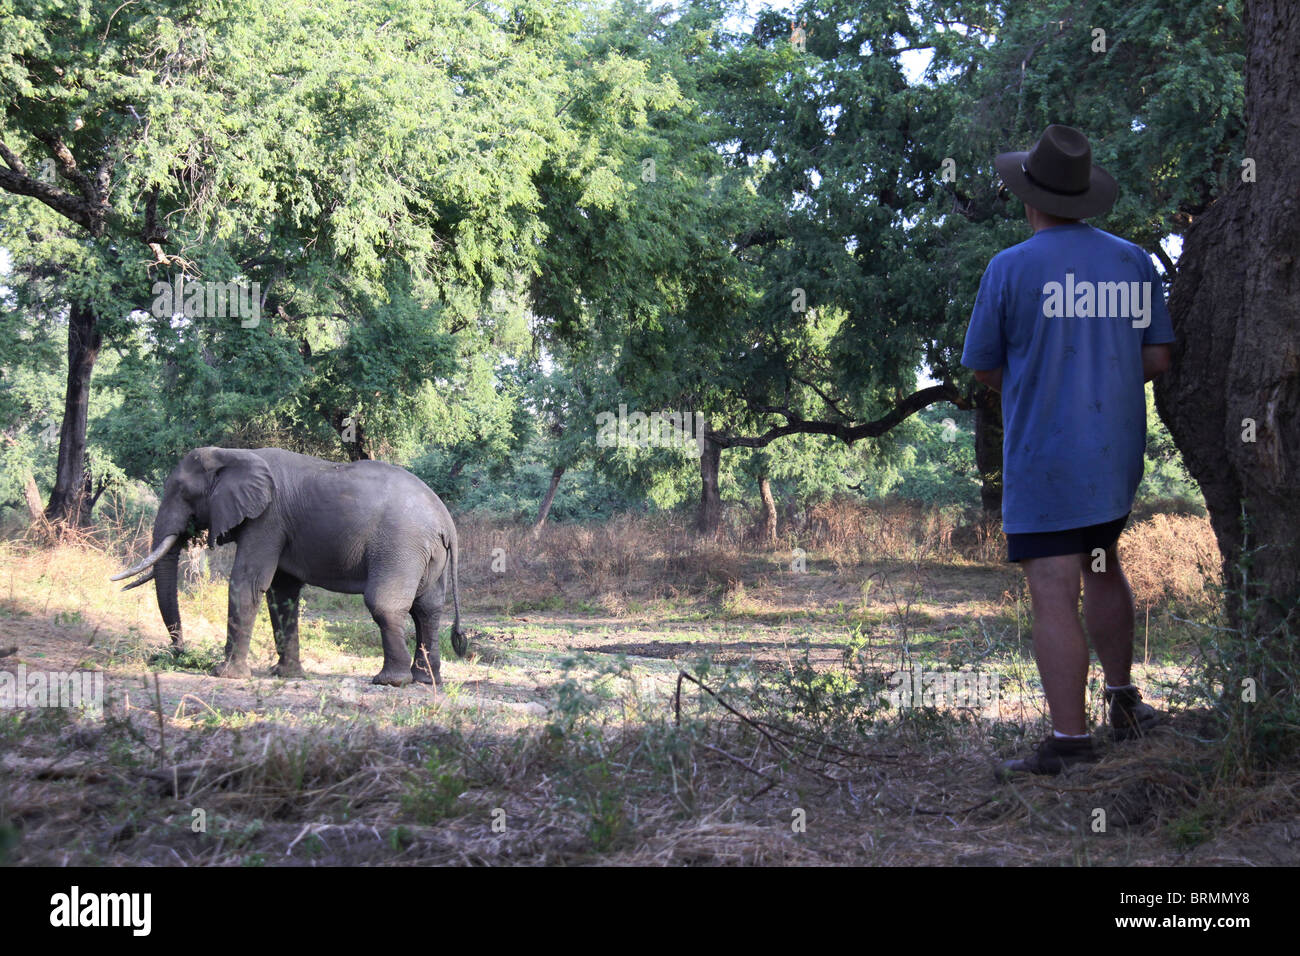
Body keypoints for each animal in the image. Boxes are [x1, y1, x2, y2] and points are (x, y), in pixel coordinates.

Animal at [111, 447, 467, 686]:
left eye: (183, 493)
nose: (178, 651)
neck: (234, 454)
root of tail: (446, 520)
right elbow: (281, 593)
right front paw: (287, 675)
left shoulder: (267, 519)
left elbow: (248, 582)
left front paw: (225, 675)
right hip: (428, 553)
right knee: (427, 609)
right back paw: (426, 681)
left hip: (401, 545)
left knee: (386, 604)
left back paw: (390, 681)